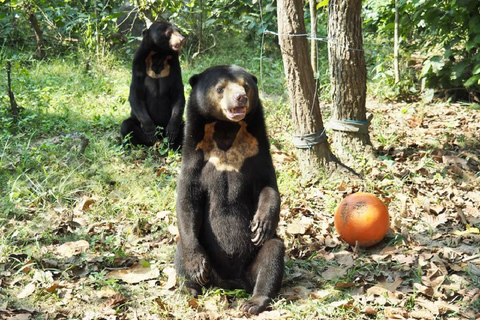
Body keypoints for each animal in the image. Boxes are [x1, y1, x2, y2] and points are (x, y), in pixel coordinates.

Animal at [120, 21, 186, 149]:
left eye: (179, 31)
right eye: (168, 33)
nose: (182, 39)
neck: (159, 54)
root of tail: (160, 141)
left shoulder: (174, 65)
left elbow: (178, 93)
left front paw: (171, 131)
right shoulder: (138, 65)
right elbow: (135, 94)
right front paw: (150, 129)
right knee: (126, 126)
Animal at [174, 65, 284, 316]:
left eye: (245, 86)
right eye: (220, 88)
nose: (241, 98)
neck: (226, 129)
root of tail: (229, 283)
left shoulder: (257, 150)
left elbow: (268, 186)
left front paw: (261, 225)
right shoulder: (194, 154)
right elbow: (187, 199)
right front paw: (197, 266)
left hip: (252, 266)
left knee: (272, 253)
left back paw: (253, 302)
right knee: (180, 248)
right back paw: (191, 289)